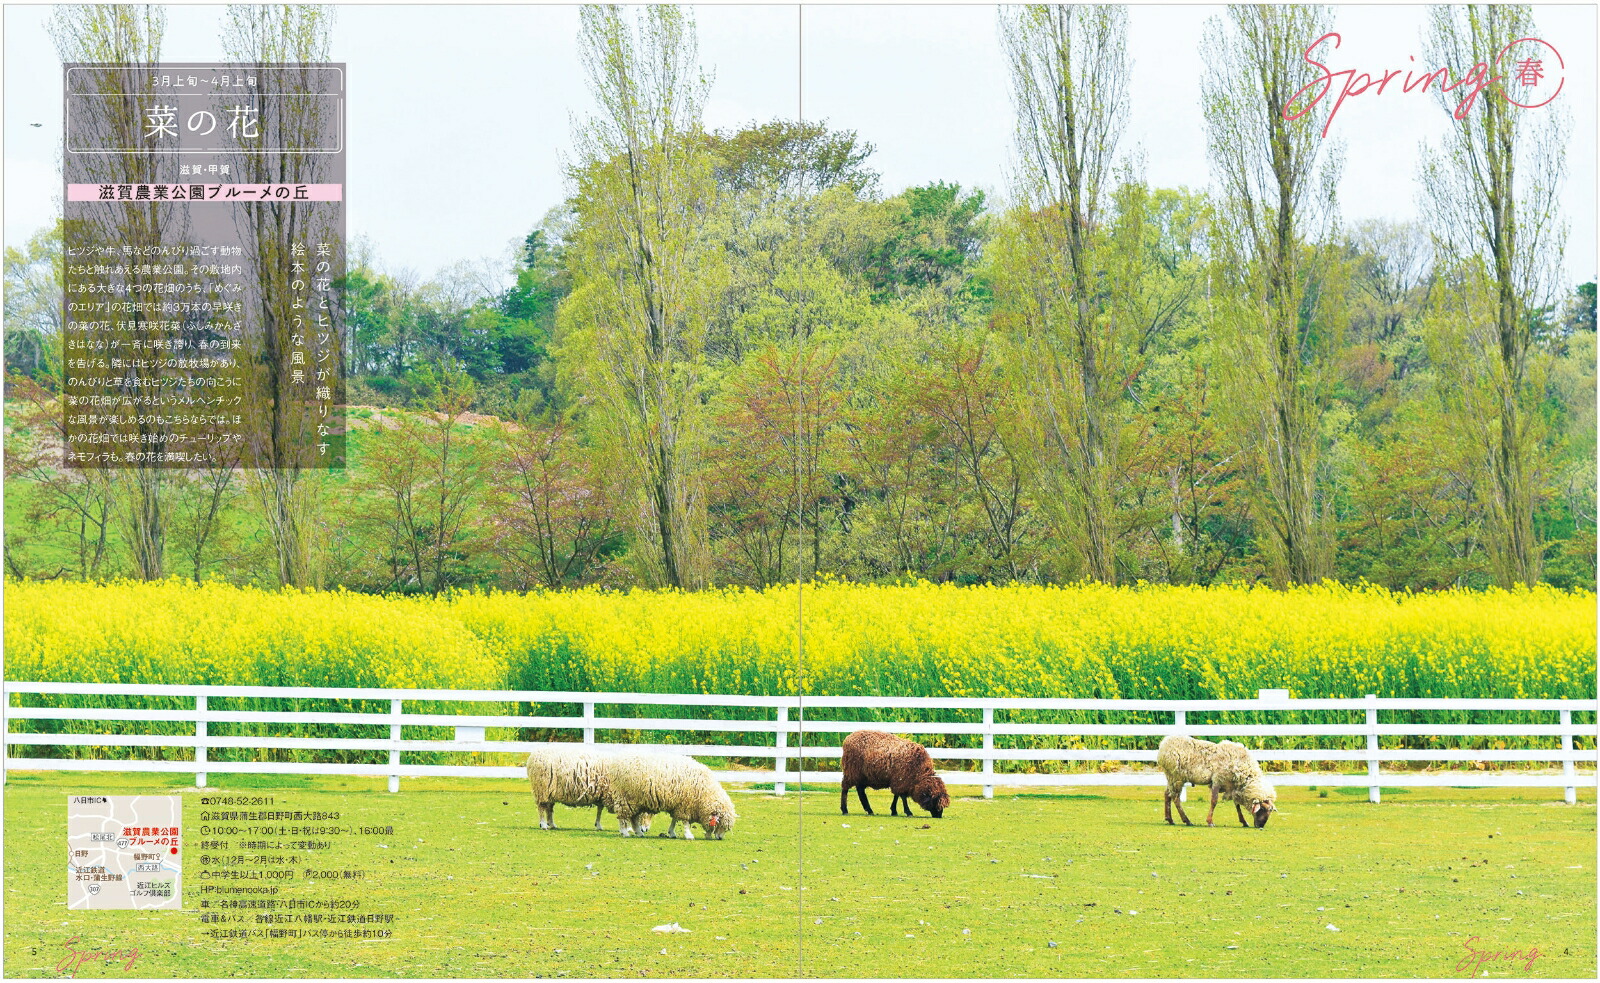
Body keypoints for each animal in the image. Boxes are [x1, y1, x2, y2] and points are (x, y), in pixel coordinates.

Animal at [604, 755, 736, 838]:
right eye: (721, 824)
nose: (720, 838)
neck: (705, 792)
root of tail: (617, 764)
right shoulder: (686, 804)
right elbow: (685, 822)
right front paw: (688, 835)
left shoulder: (679, 804)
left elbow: (675, 819)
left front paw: (672, 832)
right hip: (626, 798)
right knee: (623, 817)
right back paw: (625, 832)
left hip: (636, 801)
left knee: (634, 818)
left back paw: (639, 833)